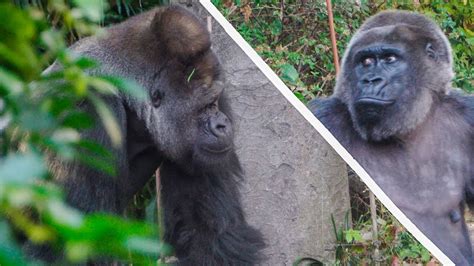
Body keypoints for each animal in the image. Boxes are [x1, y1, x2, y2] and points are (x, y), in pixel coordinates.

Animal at [310, 9, 474, 264]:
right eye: (366, 62)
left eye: (390, 59)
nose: (370, 80)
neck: (408, 130)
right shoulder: (325, 117)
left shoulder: (468, 118)